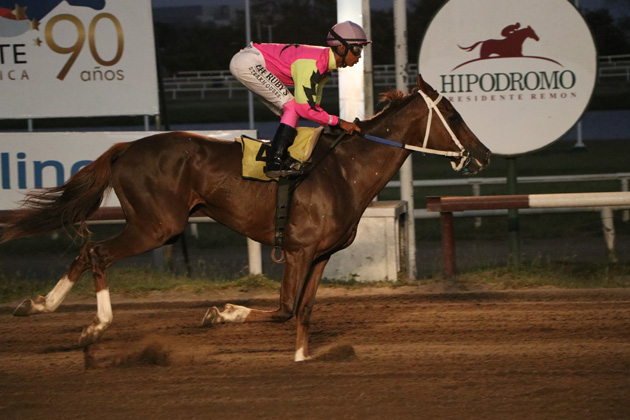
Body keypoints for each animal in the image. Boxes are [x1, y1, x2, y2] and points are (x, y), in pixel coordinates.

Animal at [1, 74, 494, 360]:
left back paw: (39, 305)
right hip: (157, 226)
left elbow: (305, 311)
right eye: (453, 114)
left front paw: (302, 359)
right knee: (97, 252)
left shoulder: (321, 255)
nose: (484, 155)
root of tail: (125, 147)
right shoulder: (297, 250)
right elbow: (283, 310)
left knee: (87, 251)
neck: (343, 170)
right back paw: (92, 326)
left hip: (154, 226)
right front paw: (219, 313)